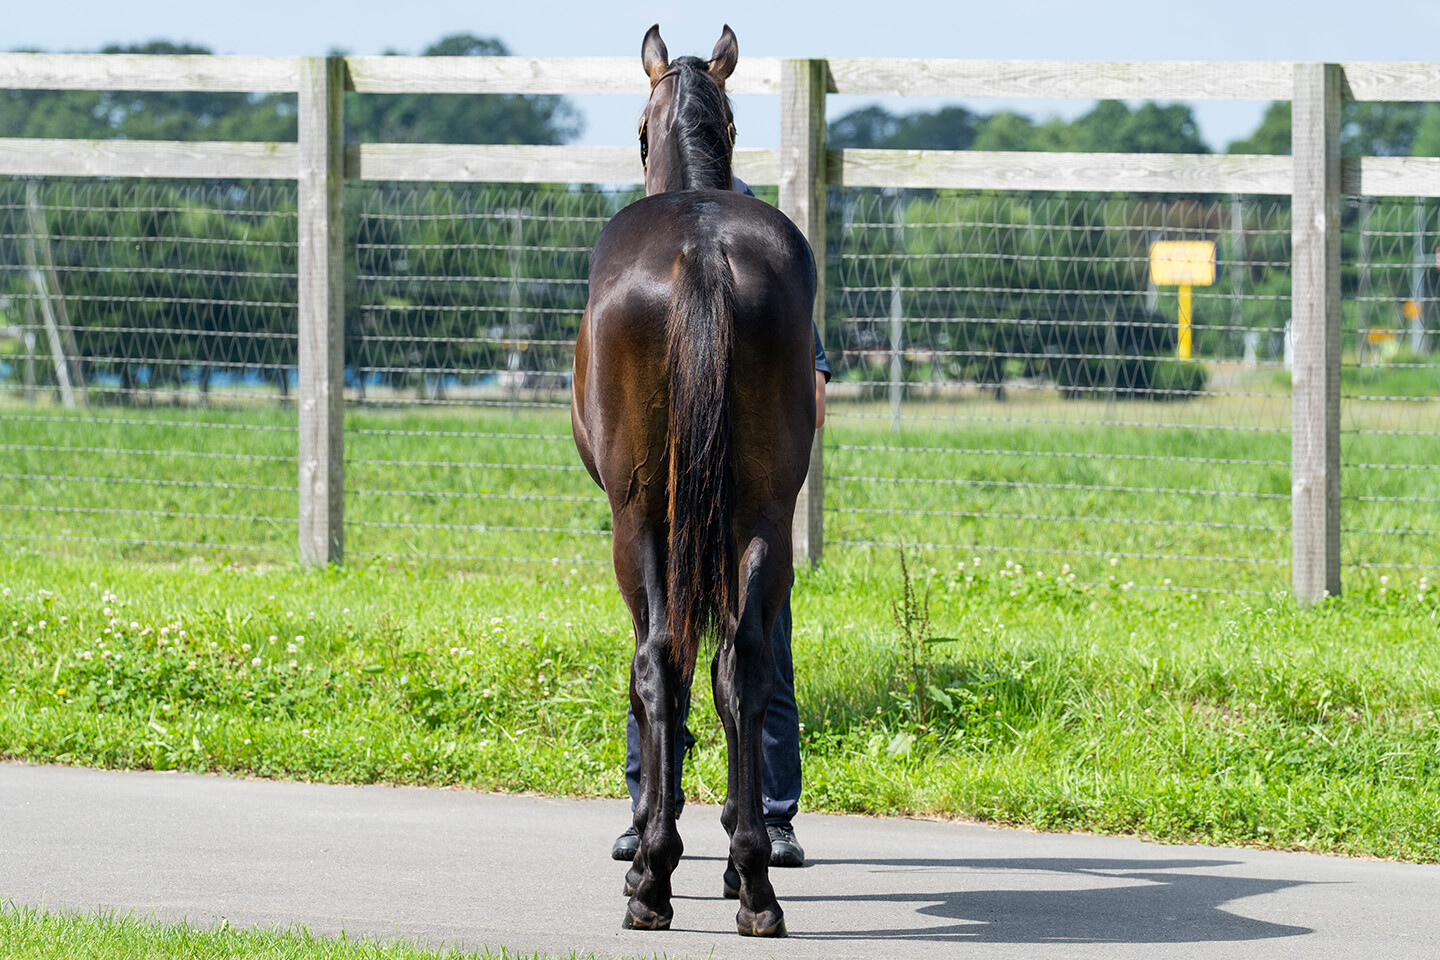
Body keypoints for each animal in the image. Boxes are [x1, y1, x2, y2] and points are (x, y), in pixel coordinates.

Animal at [570, 24, 817, 938]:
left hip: (638, 518)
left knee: (658, 662)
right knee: (740, 665)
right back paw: (753, 880)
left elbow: (656, 679)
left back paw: (653, 878)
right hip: (762, 517)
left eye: (640, 129)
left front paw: (655, 843)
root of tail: (703, 252)